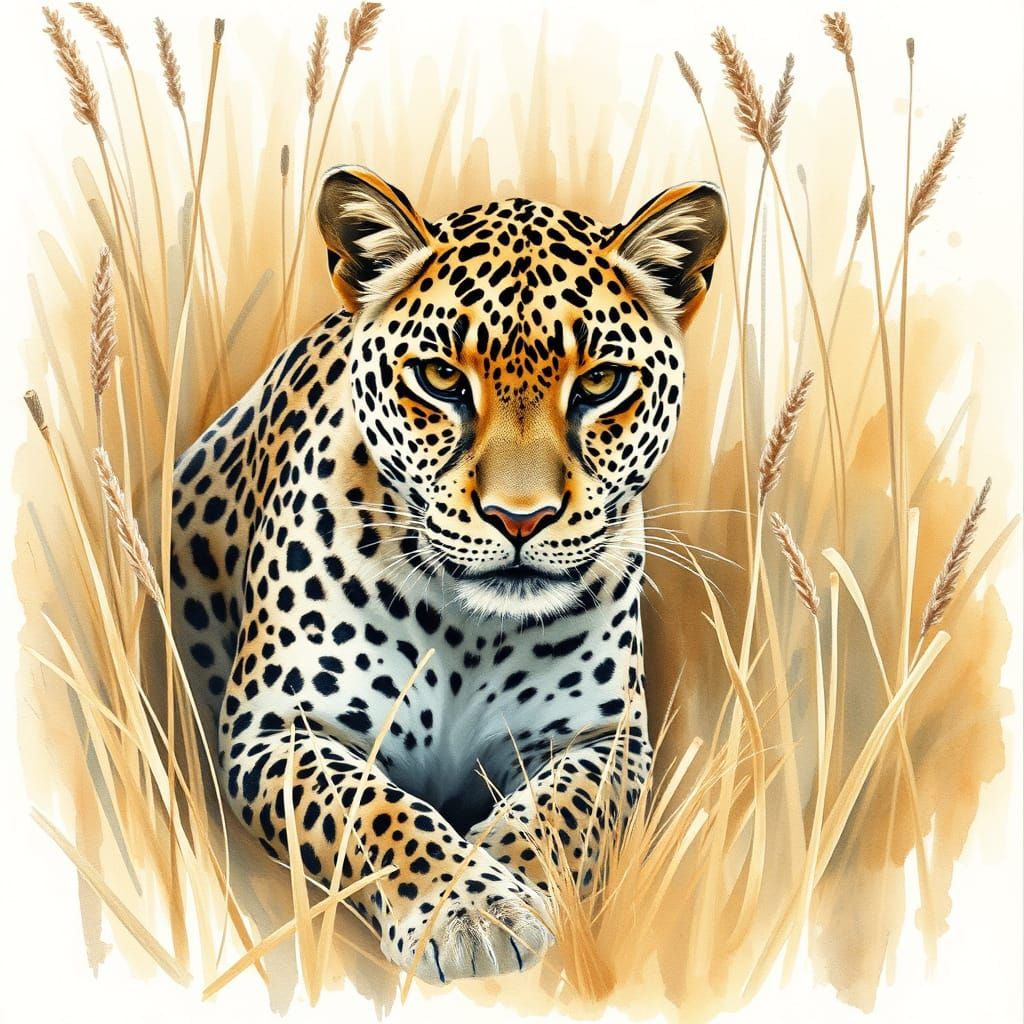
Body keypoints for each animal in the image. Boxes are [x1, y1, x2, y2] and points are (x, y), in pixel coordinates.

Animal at [170, 164, 725, 985]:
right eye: (439, 378)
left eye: (599, 384)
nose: (519, 519)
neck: (471, 631)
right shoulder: (274, 724)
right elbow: (372, 809)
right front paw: (468, 908)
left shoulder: (605, 737)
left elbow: (557, 814)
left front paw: (508, 886)